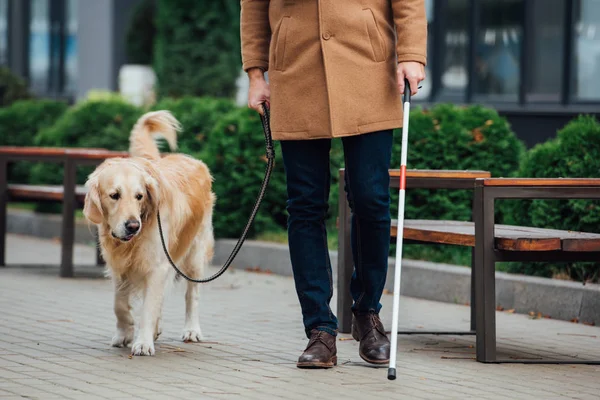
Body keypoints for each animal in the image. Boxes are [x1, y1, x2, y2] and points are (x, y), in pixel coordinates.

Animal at [83, 110, 216, 356]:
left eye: (139, 196)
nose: (133, 226)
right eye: (114, 195)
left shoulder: (156, 264)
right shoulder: (119, 266)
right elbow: (119, 304)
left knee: (192, 294)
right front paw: (124, 333)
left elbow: (148, 308)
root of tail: (195, 161)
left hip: (194, 252)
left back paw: (192, 330)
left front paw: (143, 342)